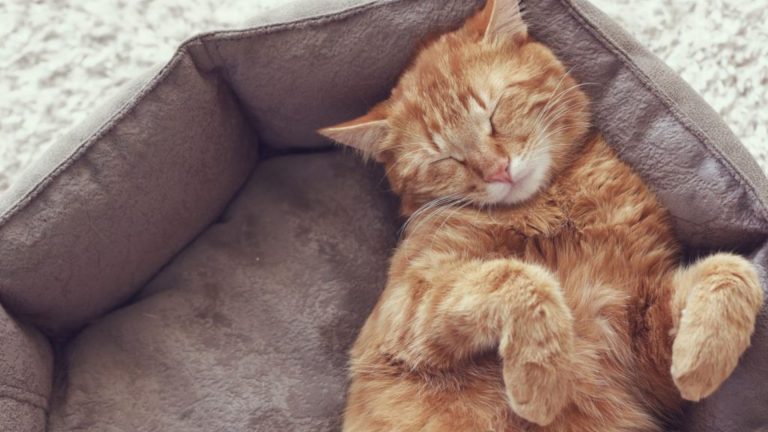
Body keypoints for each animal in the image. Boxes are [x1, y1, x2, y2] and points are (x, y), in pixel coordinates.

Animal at [316, 1, 760, 430]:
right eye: (444, 159)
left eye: (494, 113)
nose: (497, 170)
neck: (550, 207)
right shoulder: (407, 307)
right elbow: (521, 277)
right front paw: (542, 379)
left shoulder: (644, 342)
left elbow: (733, 269)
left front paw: (701, 361)